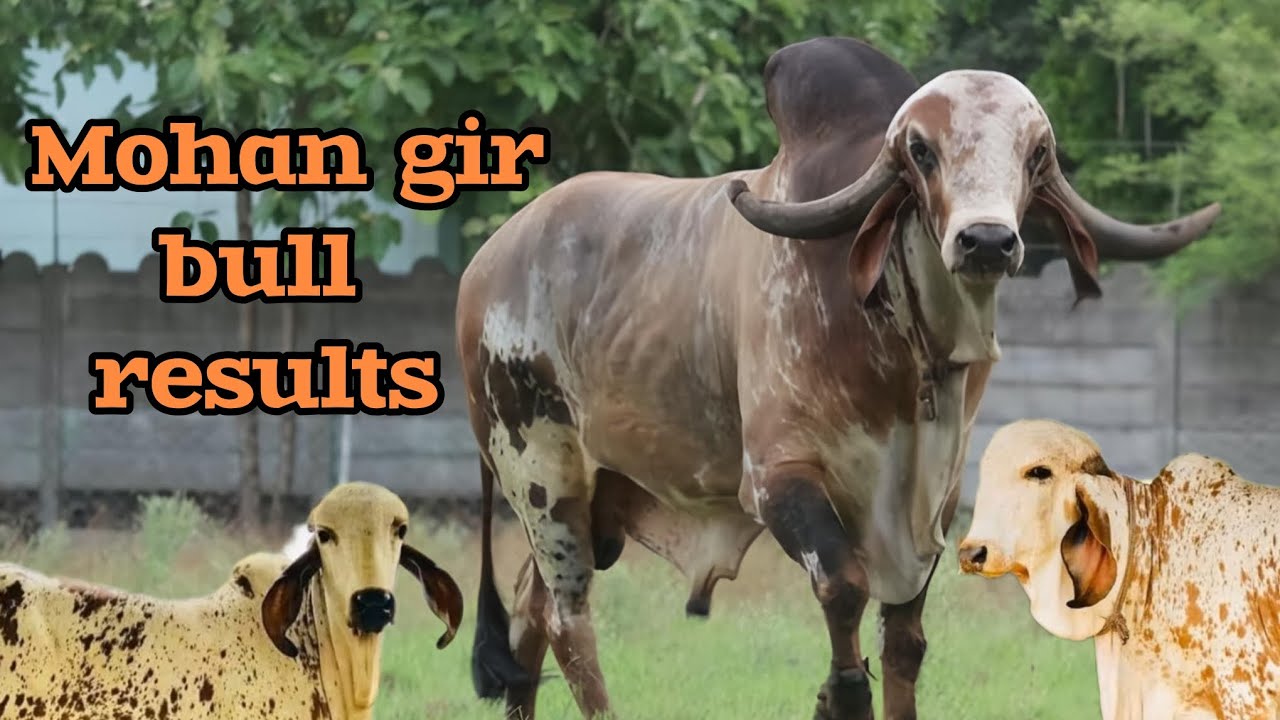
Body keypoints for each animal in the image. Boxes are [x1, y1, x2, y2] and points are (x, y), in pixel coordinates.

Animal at [455, 36, 1221, 720]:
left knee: (528, 613)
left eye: (1035, 154)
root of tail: (488, 260)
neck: (906, 356)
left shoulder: (932, 509)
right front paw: (838, 697)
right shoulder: (780, 480)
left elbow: (905, 642)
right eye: (921, 151)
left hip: (594, 500)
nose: (987, 241)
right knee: (567, 620)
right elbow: (846, 596)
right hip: (540, 476)